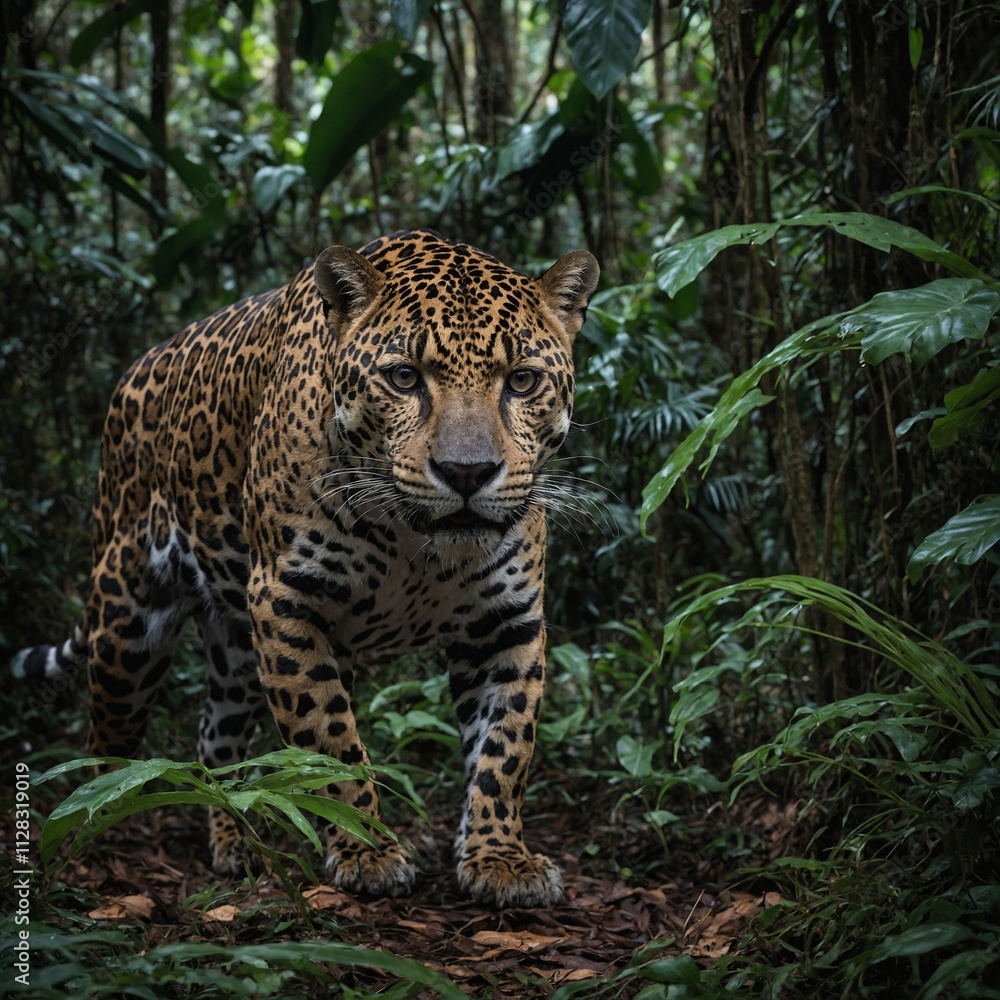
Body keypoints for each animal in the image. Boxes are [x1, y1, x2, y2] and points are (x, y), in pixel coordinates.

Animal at [12, 228, 600, 908]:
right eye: (405, 377)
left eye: (523, 381)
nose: (467, 473)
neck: (416, 544)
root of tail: (133, 374)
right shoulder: (287, 599)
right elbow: (330, 738)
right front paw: (367, 850)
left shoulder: (506, 624)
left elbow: (504, 750)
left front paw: (500, 859)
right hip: (127, 625)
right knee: (103, 742)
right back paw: (90, 835)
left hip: (236, 646)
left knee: (215, 734)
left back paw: (238, 838)